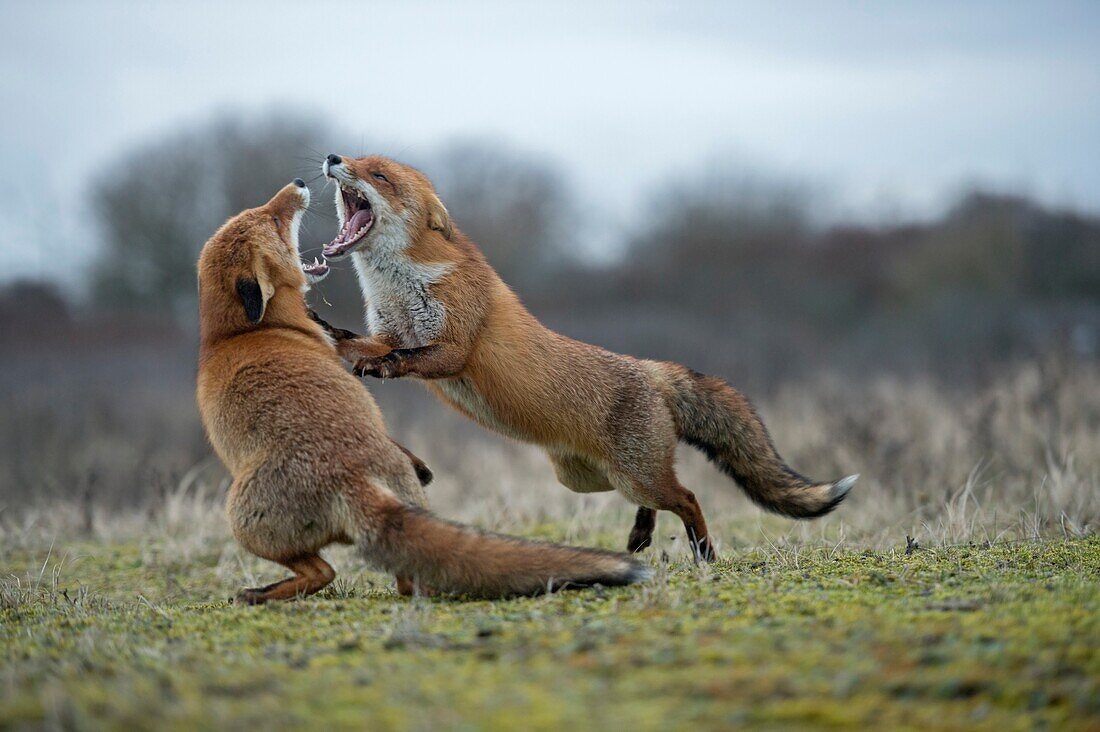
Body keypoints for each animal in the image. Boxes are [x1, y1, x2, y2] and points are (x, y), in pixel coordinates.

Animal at [195, 178, 651, 598]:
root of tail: (348, 476)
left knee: (327, 573)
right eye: (274, 220)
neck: (234, 335)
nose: (299, 182)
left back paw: (259, 594)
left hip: (240, 523)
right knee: (393, 577)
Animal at [314, 150, 853, 556]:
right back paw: (642, 534)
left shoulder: (454, 347)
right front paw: (326, 332)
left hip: (634, 475)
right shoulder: (390, 331)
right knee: (663, 497)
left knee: (688, 497)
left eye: (379, 175)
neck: (402, 286)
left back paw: (704, 554)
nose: (333, 157)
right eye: (360, 159)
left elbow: (409, 360)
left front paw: (379, 367)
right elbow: (355, 341)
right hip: (590, 479)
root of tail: (650, 370)